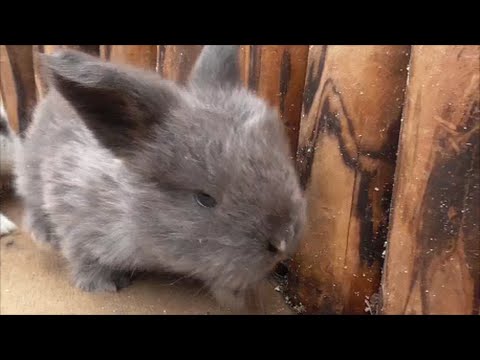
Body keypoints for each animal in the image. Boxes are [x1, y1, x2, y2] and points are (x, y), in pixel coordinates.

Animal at [16, 45, 308, 310]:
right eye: (204, 199)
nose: (283, 240)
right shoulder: (71, 209)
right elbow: (83, 255)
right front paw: (103, 285)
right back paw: (44, 236)